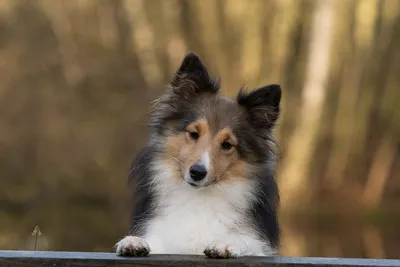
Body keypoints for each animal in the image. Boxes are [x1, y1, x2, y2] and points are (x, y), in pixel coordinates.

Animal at [114, 52, 280, 260]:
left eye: (227, 145)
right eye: (194, 133)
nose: (197, 173)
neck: (198, 198)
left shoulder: (258, 246)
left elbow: (245, 242)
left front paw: (225, 244)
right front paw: (134, 242)